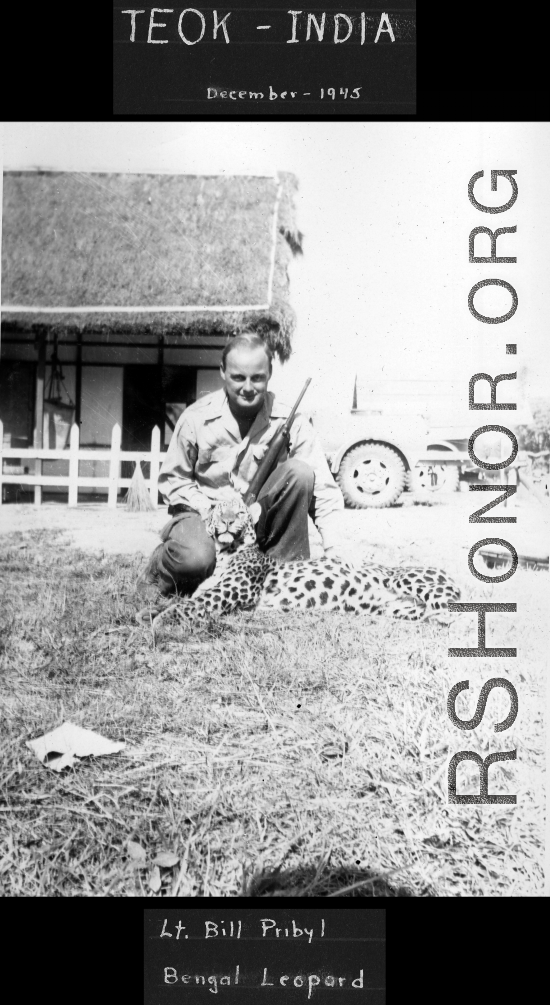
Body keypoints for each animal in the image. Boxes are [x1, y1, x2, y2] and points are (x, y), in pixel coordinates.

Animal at [138, 494, 460, 627]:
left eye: (240, 513)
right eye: (219, 510)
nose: (228, 521)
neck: (224, 551)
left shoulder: (234, 590)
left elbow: (188, 604)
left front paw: (163, 619)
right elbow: (182, 599)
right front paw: (150, 611)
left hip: (410, 581)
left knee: (455, 612)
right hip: (393, 608)